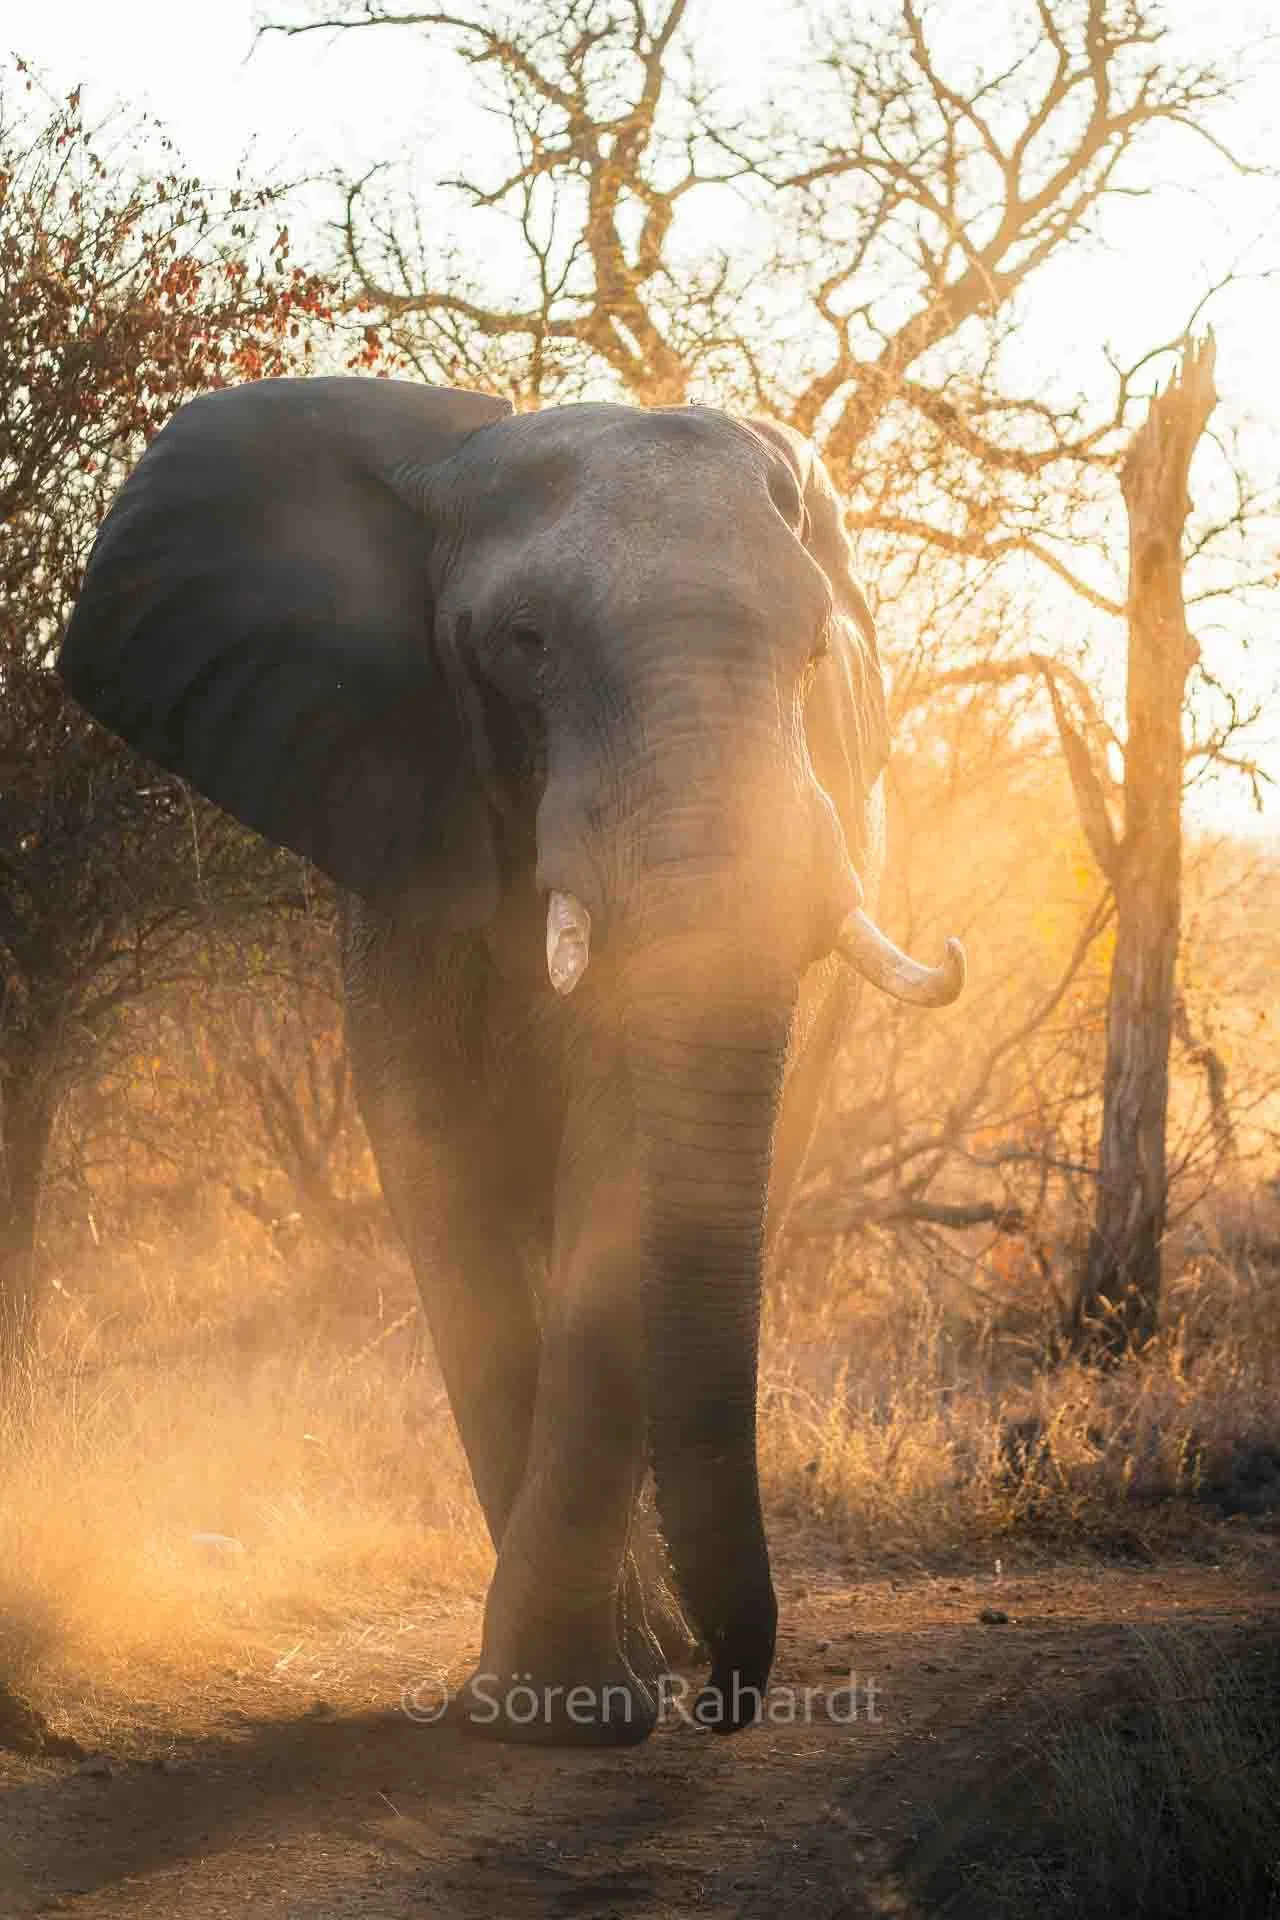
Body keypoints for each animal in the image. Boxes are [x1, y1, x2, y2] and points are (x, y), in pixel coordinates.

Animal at [58, 377, 964, 1747]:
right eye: (524, 640)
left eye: (814, 653)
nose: (726, 1701)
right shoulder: (400, 840)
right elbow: (442, 1172)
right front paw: (560, 1706)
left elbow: (624, 1178)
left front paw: (572, 1704)